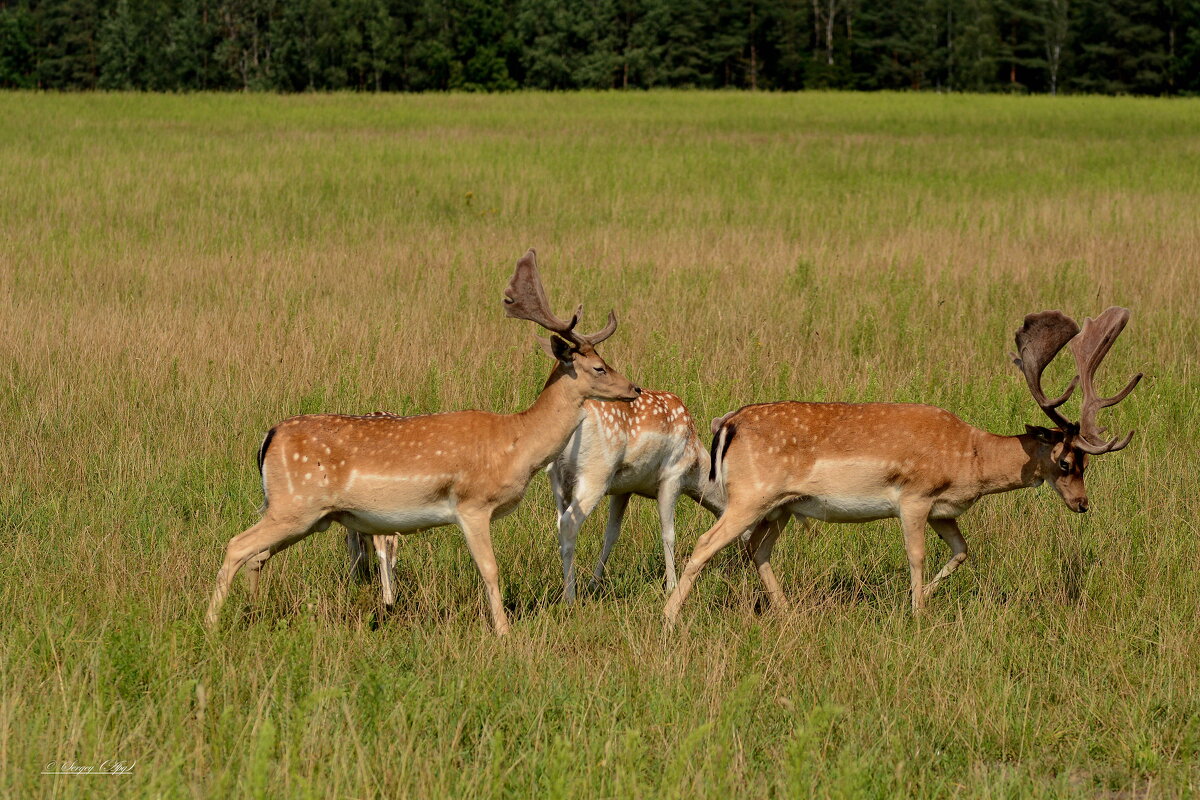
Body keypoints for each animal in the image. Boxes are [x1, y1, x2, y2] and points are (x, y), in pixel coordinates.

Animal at [206, 247, 643, 633]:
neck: (517, 442)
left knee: (257, 555)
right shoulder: (472, 503)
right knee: (236, 545)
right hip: (294, 504)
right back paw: (210, 624)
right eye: (599, 367)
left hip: (308, 515)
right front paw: (504, 632)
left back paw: (253, 614)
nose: (635, 388)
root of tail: (269, 437)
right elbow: (490, 569)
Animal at [549, 391, 720, 604]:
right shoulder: (672, 477)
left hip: (557, 477)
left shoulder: (624, 489)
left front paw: (594, 582)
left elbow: (611, 534)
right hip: (595, 474)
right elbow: (669, 533)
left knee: (559, 522)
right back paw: (570, 597)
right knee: (568, 523)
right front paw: (671, 587)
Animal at [667, 307, 1142, 623]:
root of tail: (728, 423)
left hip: (781, 506)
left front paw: (922, 600)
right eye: (1066, 460)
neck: (970, 455)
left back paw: (788, 614)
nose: (1082, 504)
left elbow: (962, 551)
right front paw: (917, 614)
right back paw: (669, 617)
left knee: (756, 549)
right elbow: (916, 554)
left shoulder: (943, 511)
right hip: (750, 497)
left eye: (1086, 463)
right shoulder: (914, 497)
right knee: (706, 543)